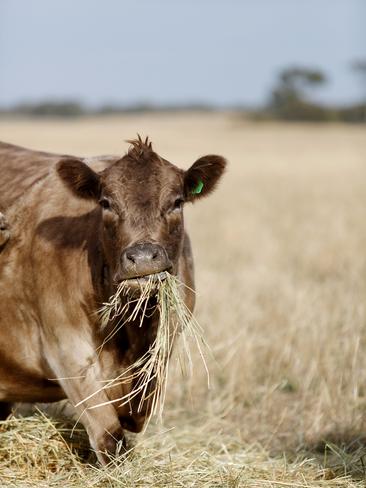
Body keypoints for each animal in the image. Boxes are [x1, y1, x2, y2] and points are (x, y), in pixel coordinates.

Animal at [0, 138, 226, 466]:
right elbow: (110, 437)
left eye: (177, 202)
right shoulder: (66, 351)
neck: (132, 331)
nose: (142, 257)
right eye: (106, 203)